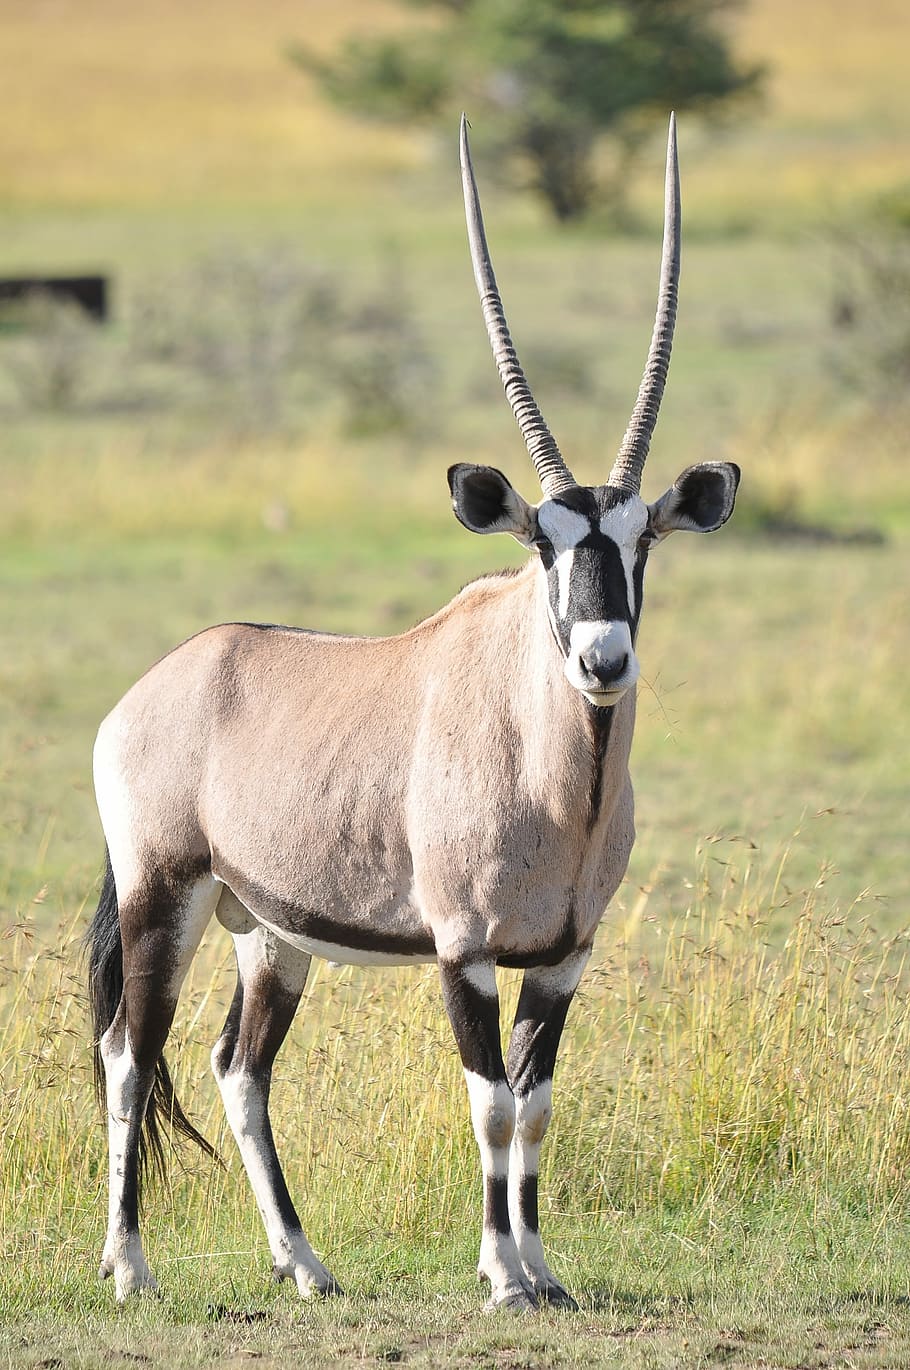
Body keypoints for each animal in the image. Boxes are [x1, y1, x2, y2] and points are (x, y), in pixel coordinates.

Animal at [87, 117, 740, 1315]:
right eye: (543, 543)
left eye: (643, 540)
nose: (602, 658)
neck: (558, 775)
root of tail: (158, 683)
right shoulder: (463, 949)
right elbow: (488, 1101)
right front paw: (501, 1276)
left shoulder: (563, 957)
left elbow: (536, 1105)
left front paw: (543, 1271)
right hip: (166, 897)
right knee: (127, 1053)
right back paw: (131, 1267)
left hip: (266, 932)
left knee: (238, 1069)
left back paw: (305, 1264)